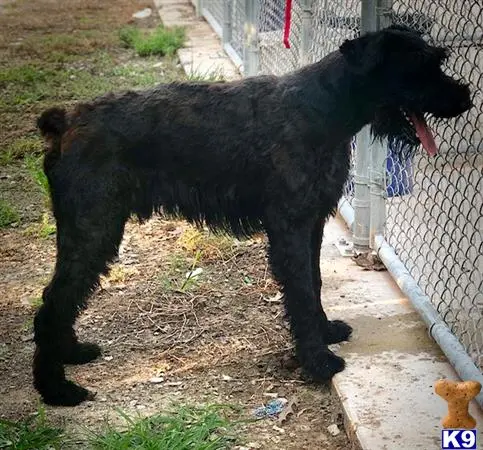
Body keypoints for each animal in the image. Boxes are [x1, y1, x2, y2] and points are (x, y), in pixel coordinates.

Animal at [34, 24, 472, 406]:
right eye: (421, 65)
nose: (465, 97)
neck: (325, 108)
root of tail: (66, 122)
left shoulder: (312, 223)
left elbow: (314, 283)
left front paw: (326, 330)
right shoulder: (290, 228)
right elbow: (300, 291)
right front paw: (318, 361)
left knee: (60, 298)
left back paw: (70, 352)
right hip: (94, 230)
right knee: (52, 300)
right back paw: (56, 389)